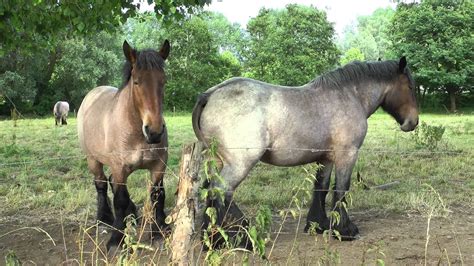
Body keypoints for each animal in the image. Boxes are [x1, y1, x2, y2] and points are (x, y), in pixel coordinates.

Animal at [75, 39, 168, 249]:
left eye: (163, 81)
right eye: (137, 82)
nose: (154, 132)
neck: (137, 134)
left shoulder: (158, 167)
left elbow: (158, 196)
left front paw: (159, 231)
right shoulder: (119, 168)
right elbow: (120, 199)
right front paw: (117, 238)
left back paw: (132, 214)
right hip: (93, 160)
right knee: (101, 183)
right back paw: (105, 218)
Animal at [193, 56, 418, 243]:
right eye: (410, 86)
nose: (413, 122)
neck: (349, 96)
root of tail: (210, 94)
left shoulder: (326, 158)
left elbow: (321, 188)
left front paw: (318, 225)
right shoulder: (347, 154)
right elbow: (341, 189)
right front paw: (345, 230)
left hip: (218, 161)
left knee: (212, 191)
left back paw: (216, 238)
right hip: (240, 163)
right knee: (220, 191)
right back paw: (238, 236)